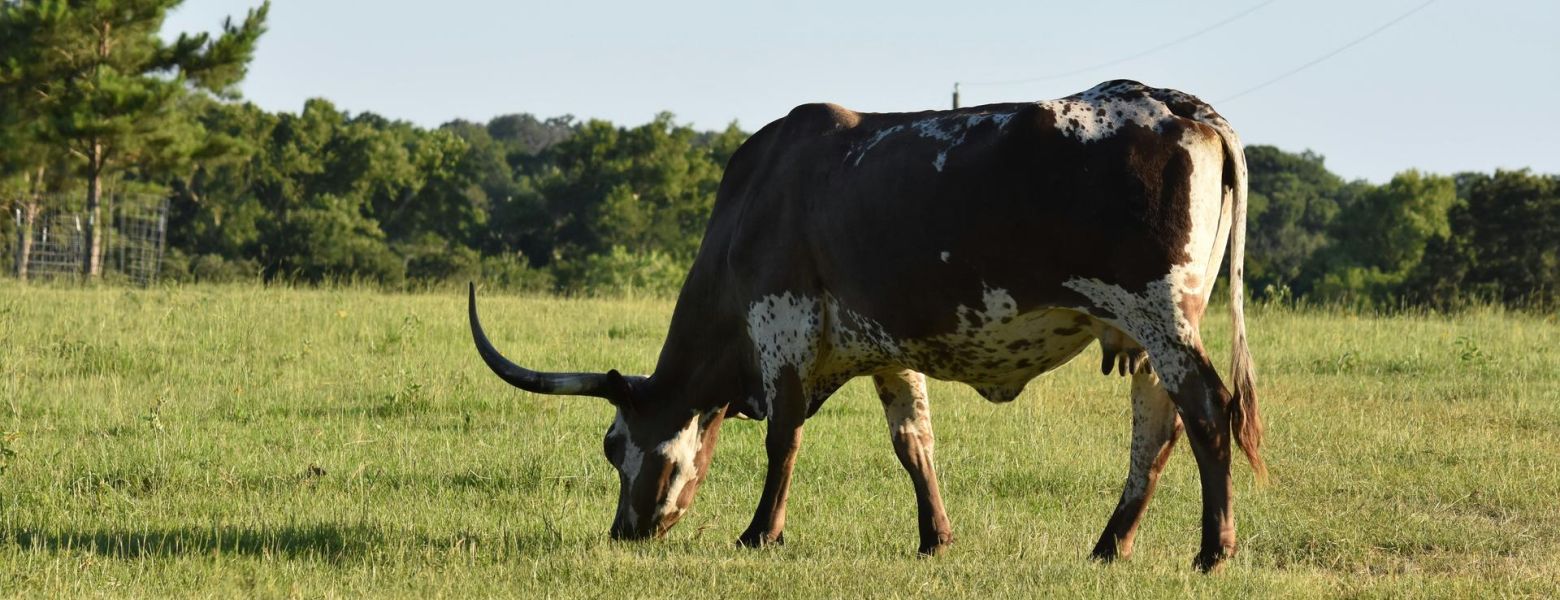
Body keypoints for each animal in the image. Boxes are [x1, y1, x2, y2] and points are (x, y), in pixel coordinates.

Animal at [464, 79, 1266, 570]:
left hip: (1159, 313)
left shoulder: (781, 325)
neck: (754, 203)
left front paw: (760, 533)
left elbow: (783, 438)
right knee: (1156, 428)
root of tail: (1182, 105)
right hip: (1152, 329)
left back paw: (1212, 550)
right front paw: (935, 538)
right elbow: (914, 442)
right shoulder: (888, 347)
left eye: (612, 446)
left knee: (1205, 411)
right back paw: (1110, 545)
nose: (624, 532)